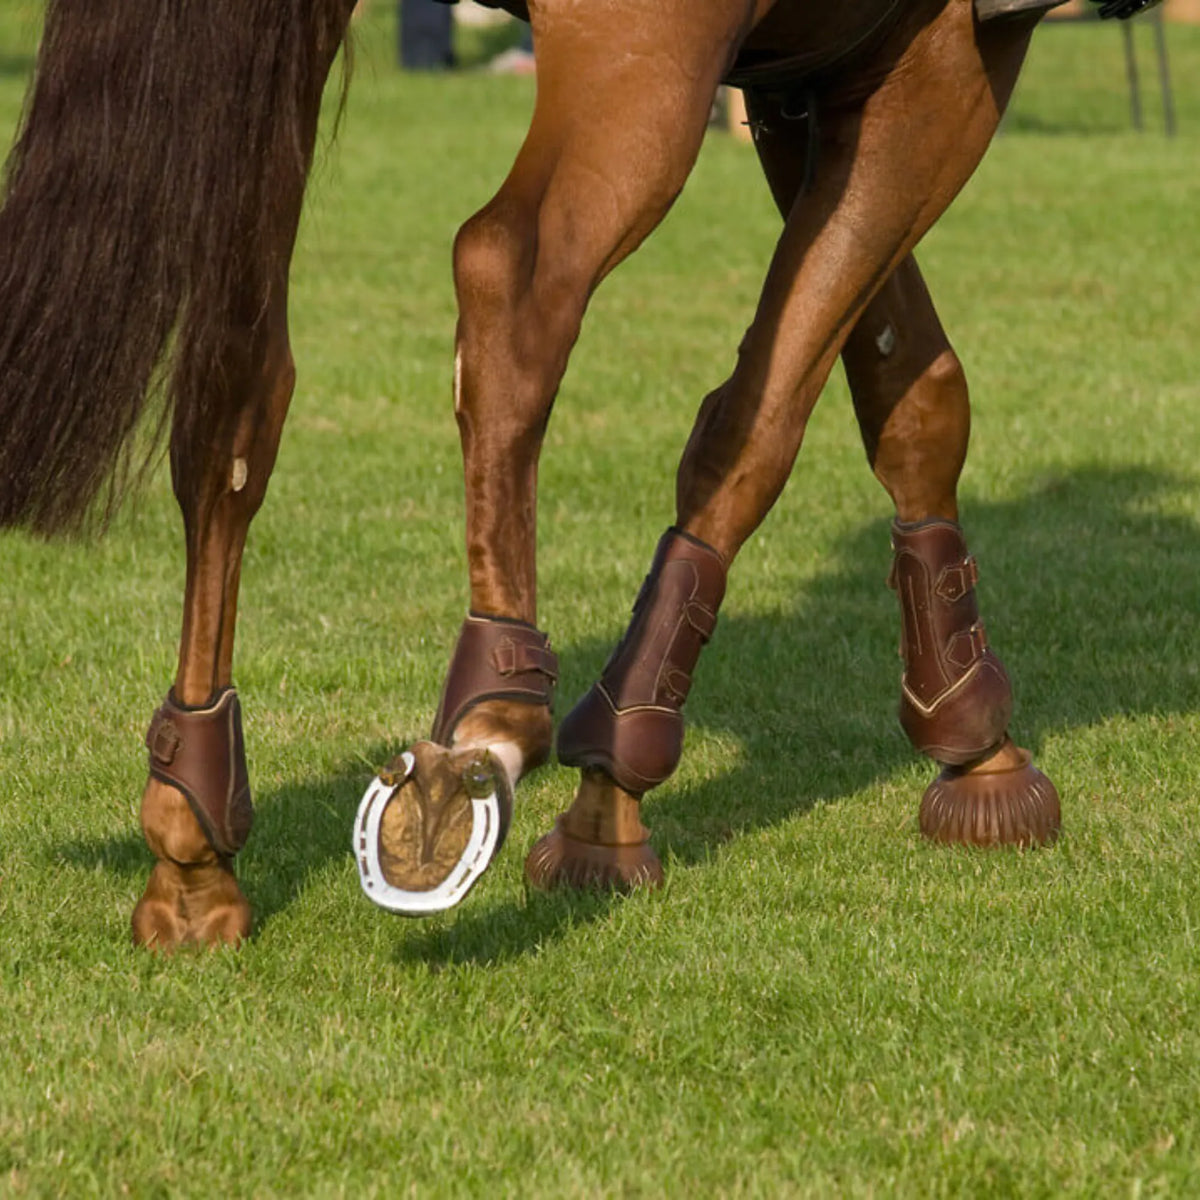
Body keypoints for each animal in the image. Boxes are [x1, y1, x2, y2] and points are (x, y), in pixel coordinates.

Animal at [0, 0, 1155, 951]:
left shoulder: (820, 73)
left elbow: (904, 391)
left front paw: (971, 737)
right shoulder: (952, 53)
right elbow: (765, 419)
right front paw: (612, 787)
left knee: (237, 380)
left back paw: (192, 837)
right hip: (642, 52)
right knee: (512, 275)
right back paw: (490, 723)